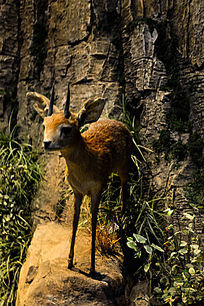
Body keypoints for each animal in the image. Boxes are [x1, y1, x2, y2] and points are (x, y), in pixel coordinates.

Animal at [26, 85, 132, 276]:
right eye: (45, 124)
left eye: (66, 128)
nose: (47, 143)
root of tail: (120, 124)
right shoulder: (77, 192)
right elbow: (74, 222)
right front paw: (69, 262)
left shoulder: (97, 190)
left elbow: (93, 220)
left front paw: (92, 268)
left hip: (124, 167)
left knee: (123, 191)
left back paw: (123, 225)